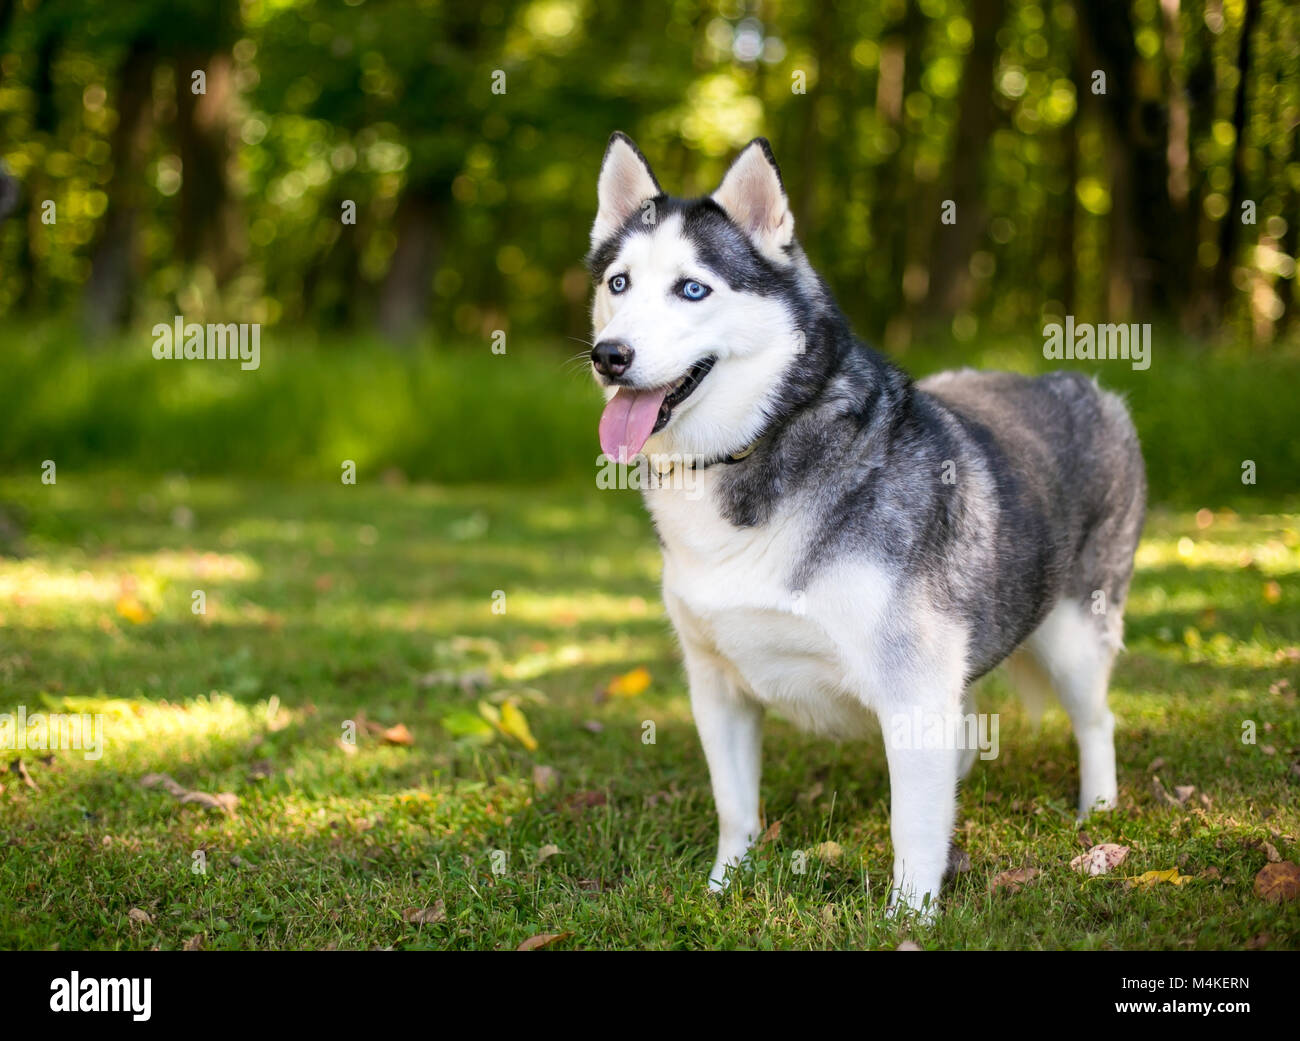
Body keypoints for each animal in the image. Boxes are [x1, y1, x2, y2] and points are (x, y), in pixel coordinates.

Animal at [585, 131, 1144, 909]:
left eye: (692, 288)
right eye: (619, 284)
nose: (610, 356)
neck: (762, 442)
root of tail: (1081, 384)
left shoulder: (913, 685)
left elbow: (912, 826)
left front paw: (909, 916)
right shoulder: (716, 685)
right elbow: (736, 808)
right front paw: (724, 888)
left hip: (1075, 635)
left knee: (1096, 719)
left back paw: (1099, 811)